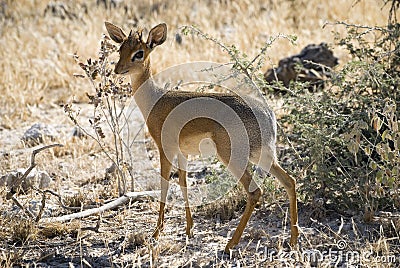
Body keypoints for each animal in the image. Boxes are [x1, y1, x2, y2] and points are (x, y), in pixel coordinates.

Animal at [104, 22, 298, 252]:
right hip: (262, 155)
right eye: (120, 49)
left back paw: (230, 244)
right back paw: (293, 240)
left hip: (232, 157)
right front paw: (189, 229)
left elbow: (164, 185)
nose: (118, 70)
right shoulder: (183, 153)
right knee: (290, 181)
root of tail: (268, 115)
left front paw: (156, 233)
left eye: (139, 53)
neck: (156, 100)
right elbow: (183, 184)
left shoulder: (164, 149)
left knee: (255, 191)